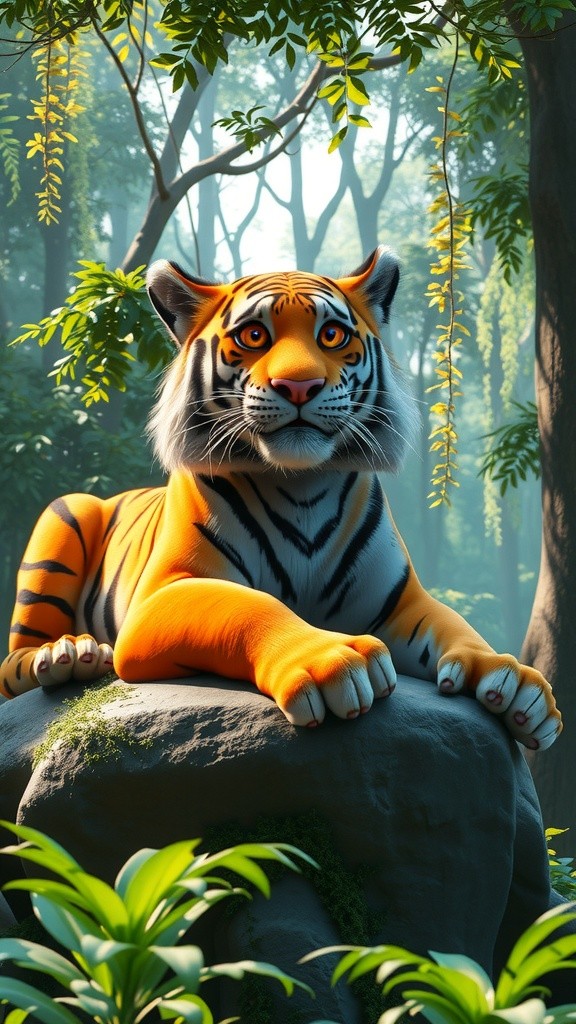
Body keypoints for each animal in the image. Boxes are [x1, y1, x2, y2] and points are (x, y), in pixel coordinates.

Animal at [0, 246, 562, 750]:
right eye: (254, 335)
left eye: (331, 335)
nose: (299, 385)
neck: (302, 487)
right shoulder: (165, 593)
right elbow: (249, 606)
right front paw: (332, 662)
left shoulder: (398, 600)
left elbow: (453, 625)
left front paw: (512, 683)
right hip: (64, 516)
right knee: (15, 664)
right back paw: (69, 655)